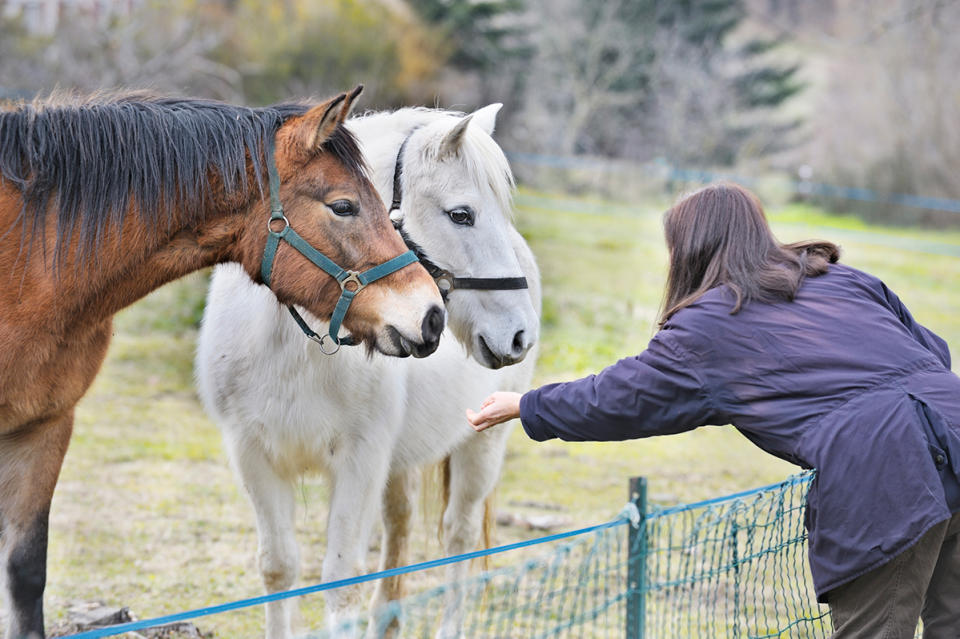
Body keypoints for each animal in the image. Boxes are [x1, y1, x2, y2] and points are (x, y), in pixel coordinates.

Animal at [195, 102, 540, 636]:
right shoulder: (254, 456)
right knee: (399, 527)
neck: (295, 344)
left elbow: (340, 582)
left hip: (482, 444)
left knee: (457, 536)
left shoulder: (360, 461)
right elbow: (278, 568)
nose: (520, 334)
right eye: (461, 215)